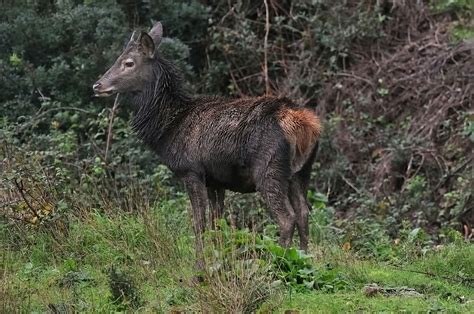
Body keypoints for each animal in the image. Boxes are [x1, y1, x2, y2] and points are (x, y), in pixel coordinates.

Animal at [92, 22, 322, 270]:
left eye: (128, 63)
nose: (97, 85)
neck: (168, 128)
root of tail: (305, 125)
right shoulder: (216, 181)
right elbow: (216, 223)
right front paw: (218, 262)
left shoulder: (191, 171)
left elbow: (199, 223)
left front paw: (199, 268)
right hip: (301, 172)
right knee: (303, 212)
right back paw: (303, 261)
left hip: (269, 169)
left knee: (287, 217)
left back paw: (276, 264)